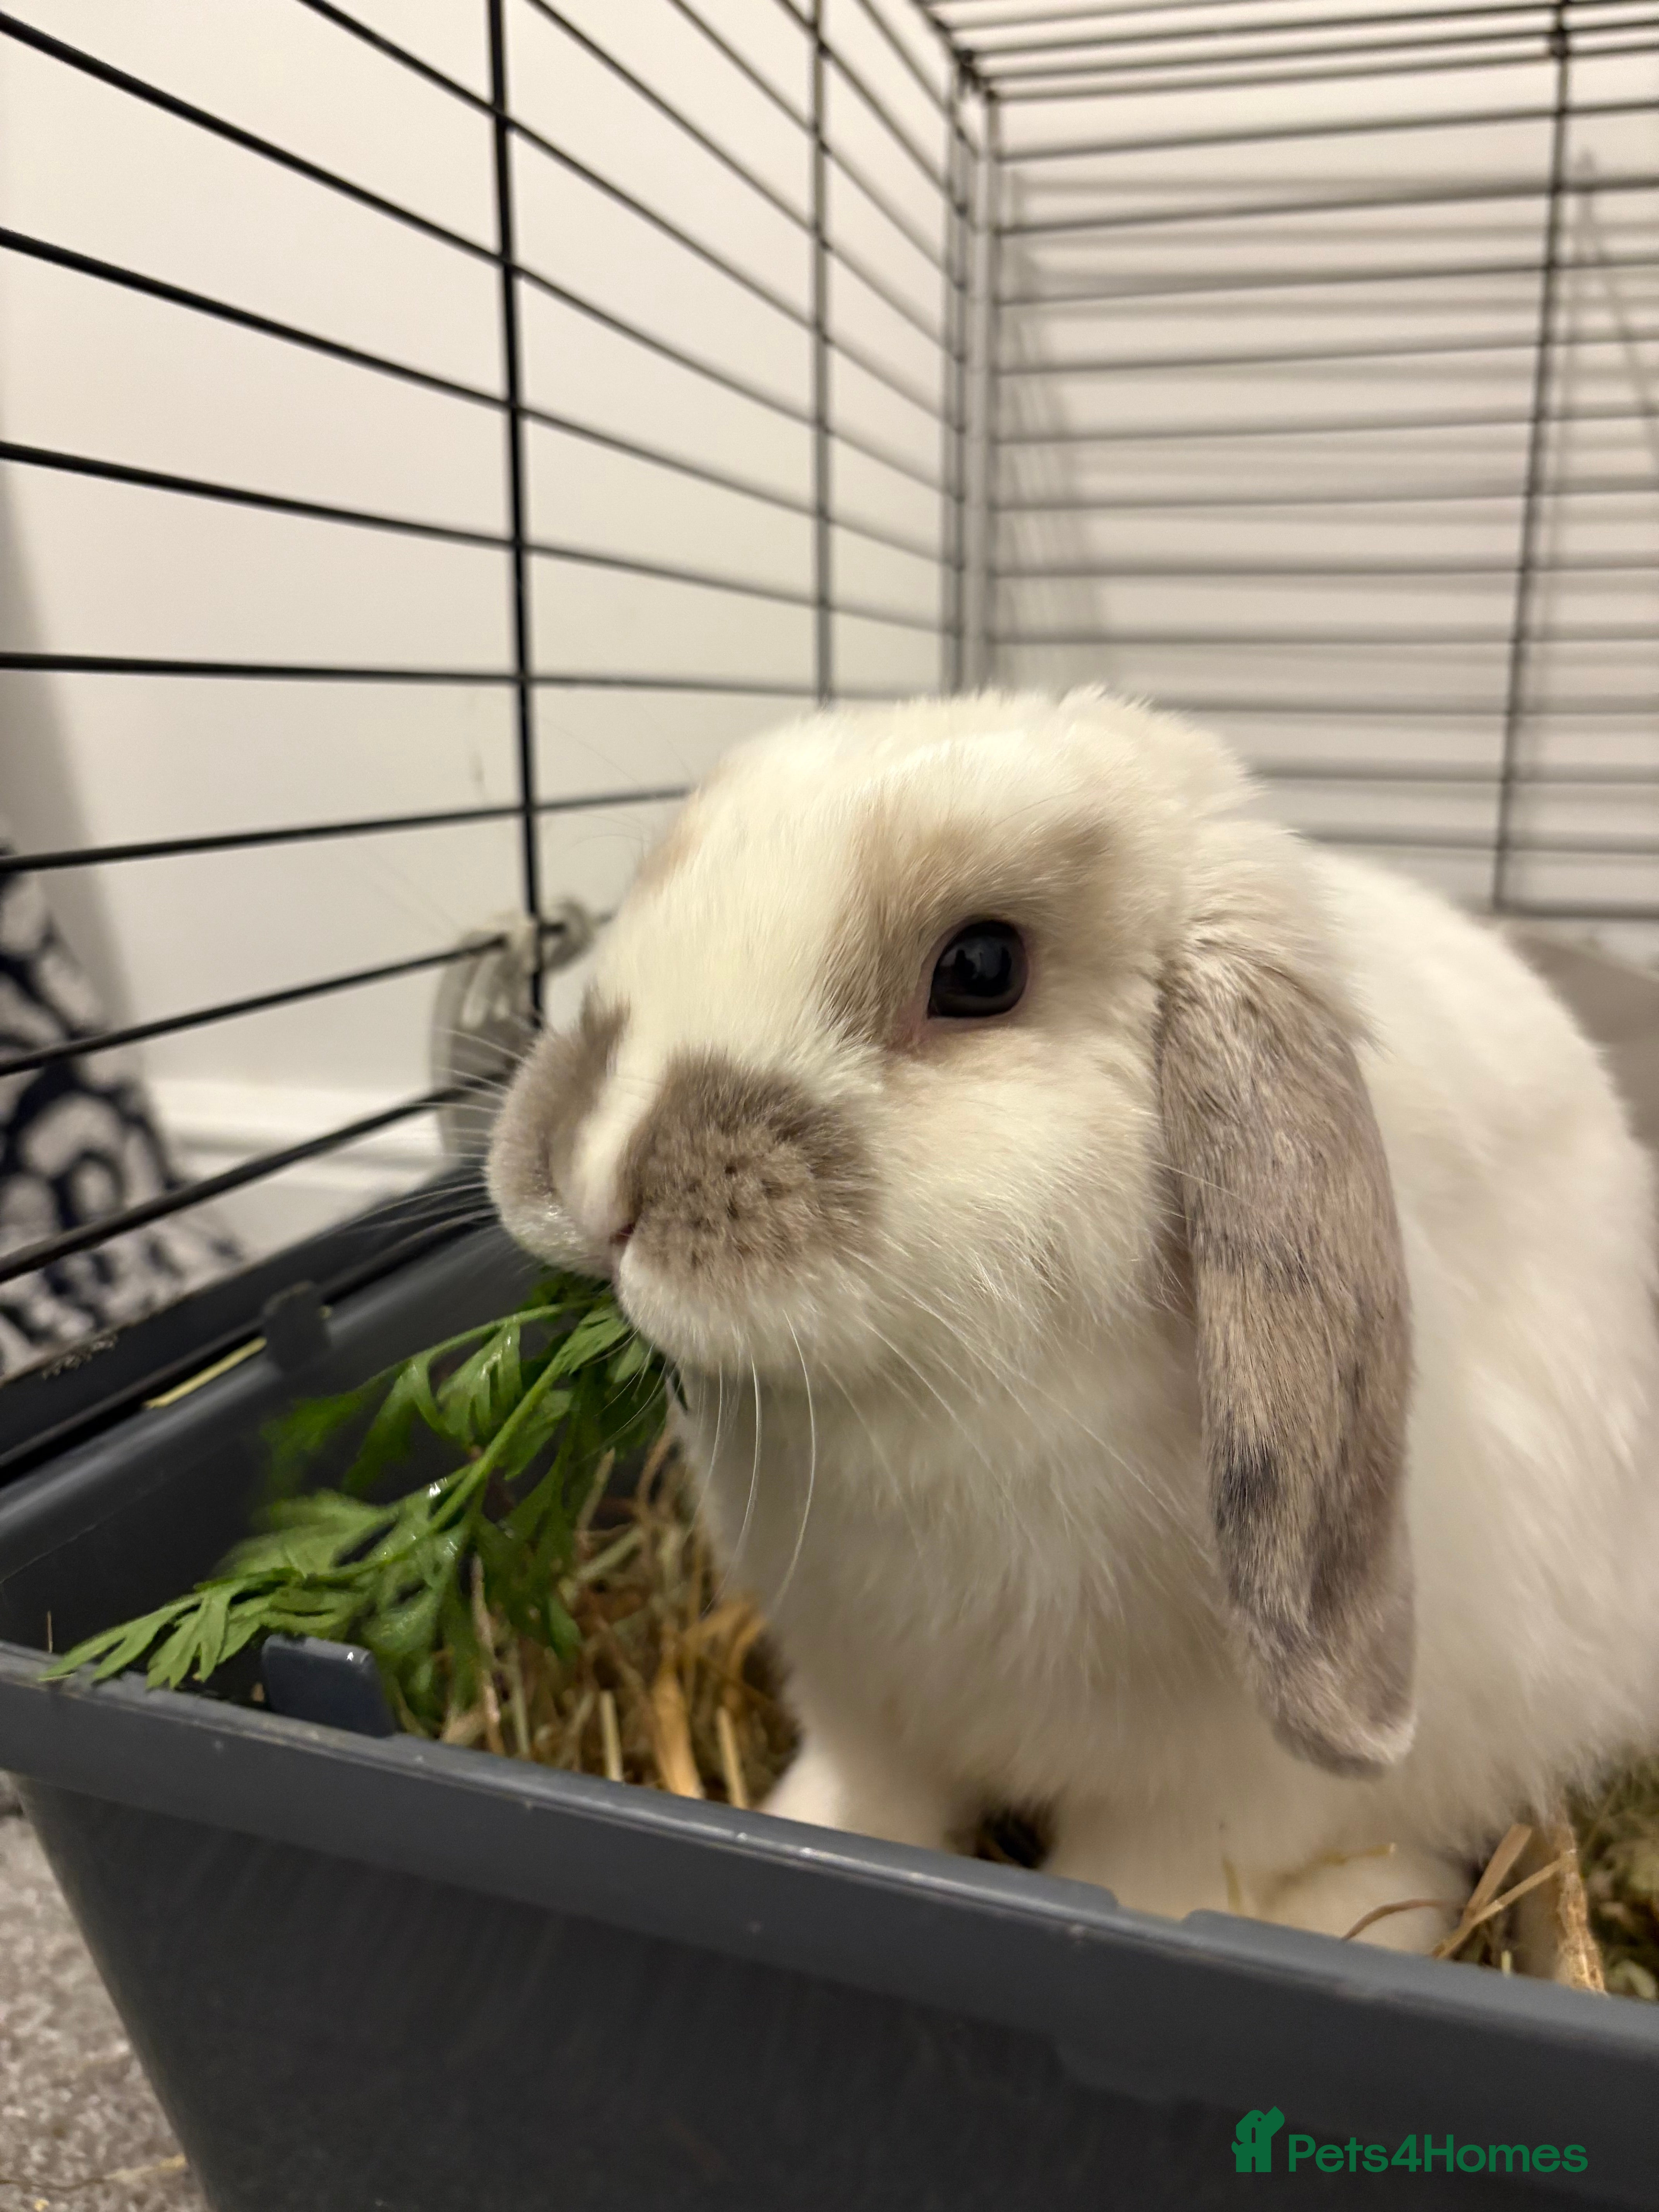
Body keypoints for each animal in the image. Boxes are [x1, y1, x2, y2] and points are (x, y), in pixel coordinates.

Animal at [488, 689, 1659, 1952]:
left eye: (981, 966)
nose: (596, 1177)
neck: (934, 1411)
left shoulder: (1213, 1794)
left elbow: (1146, 1884)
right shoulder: (863, 1696)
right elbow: (864, 1797)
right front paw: (807, 1826)